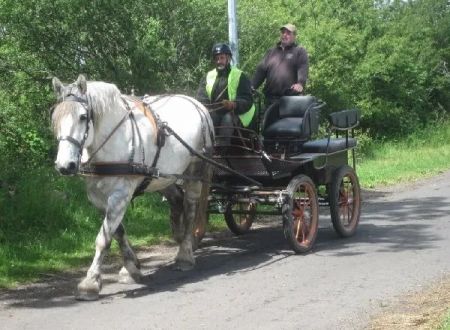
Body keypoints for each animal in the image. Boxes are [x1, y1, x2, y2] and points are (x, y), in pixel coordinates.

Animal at [51, 75, 214, 302]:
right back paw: (179, 237)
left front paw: (90, 282)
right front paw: (131, 268)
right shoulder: (97, 196)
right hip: (164, 177)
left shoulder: (120, 194)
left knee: (190, 209)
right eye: (55, 118)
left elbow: (103, 238)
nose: (65, 165)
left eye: (83, 117)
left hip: (195, 171)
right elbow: (117, 232)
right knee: (177, 200)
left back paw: (185, 255)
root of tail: (198, 105)